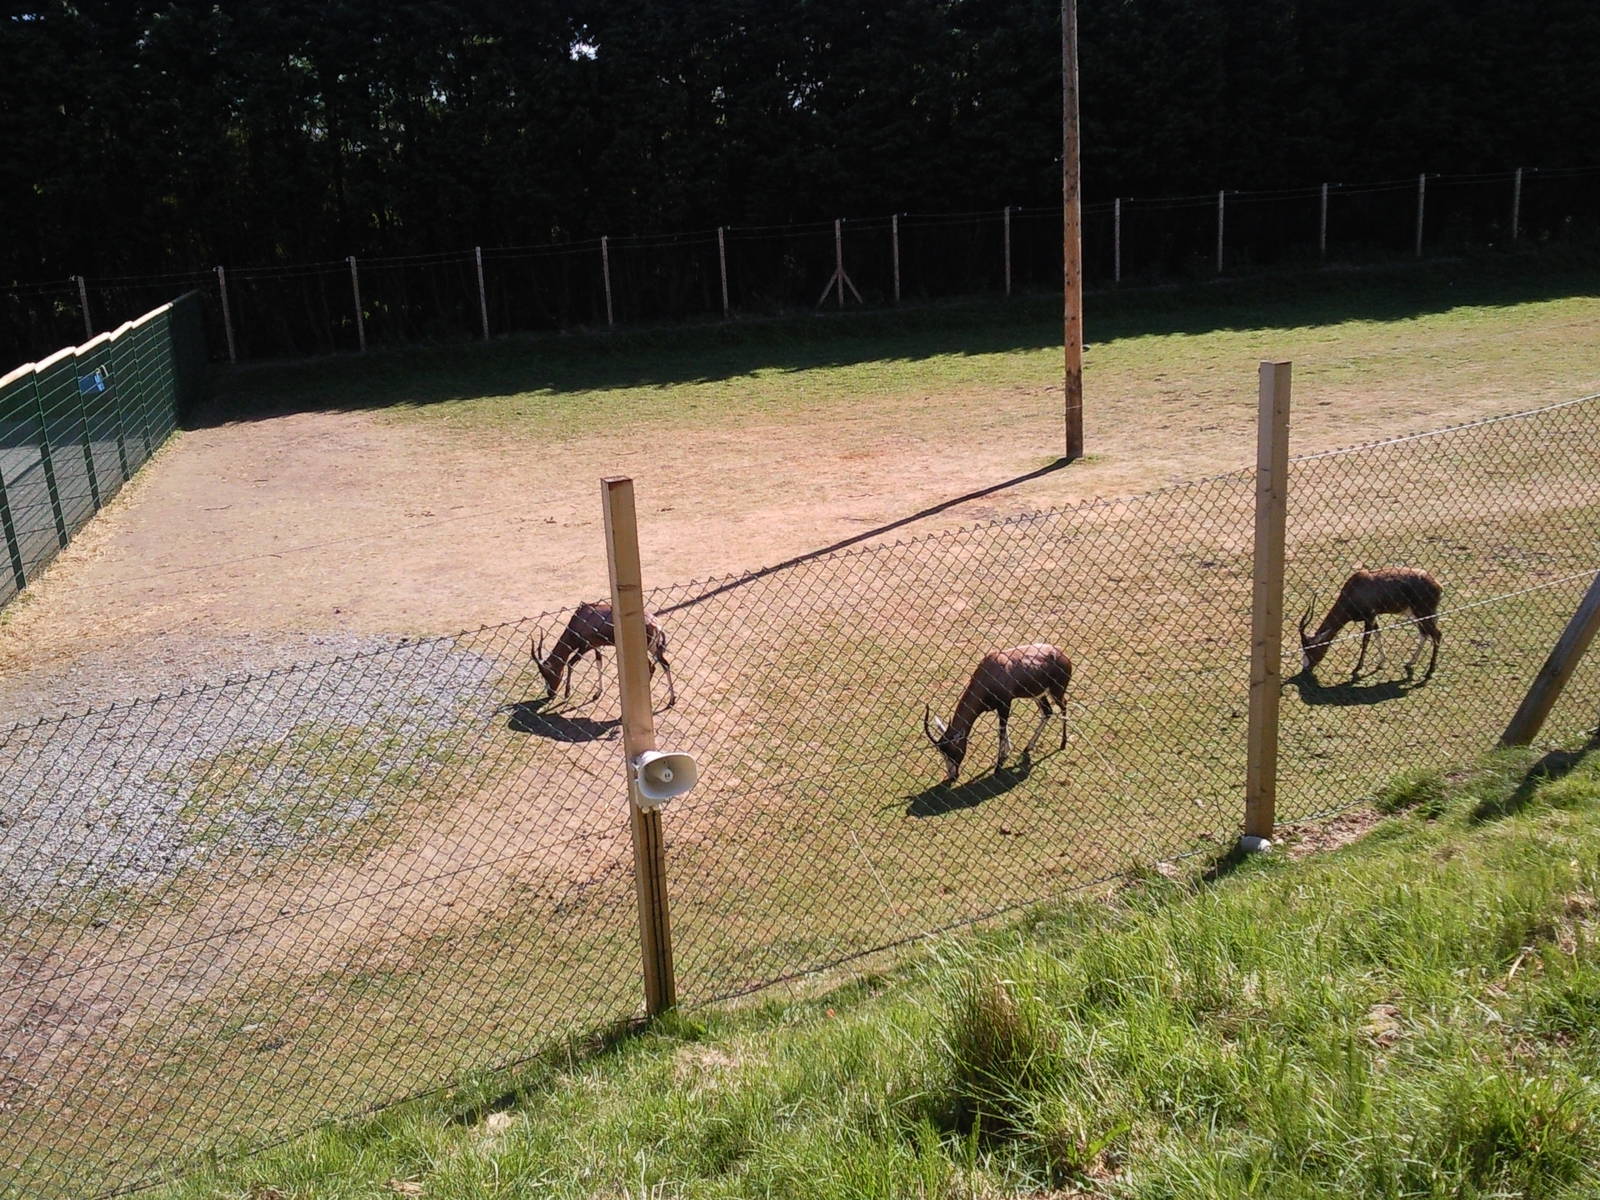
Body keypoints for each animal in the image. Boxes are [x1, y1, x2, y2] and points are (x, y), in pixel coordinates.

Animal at [532, 600, 676, 708]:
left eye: (549, 673)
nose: (550, 693)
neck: (582, 617)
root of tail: (656, 623)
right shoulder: (596, 646)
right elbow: (599, 662)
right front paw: (597, 693)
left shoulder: (585, 647)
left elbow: (570, 663)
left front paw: (567, 693)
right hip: (654, 648)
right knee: (665, 665)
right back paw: (671, 700)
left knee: (652, 666)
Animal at [922, 644, 1073, 784]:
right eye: (941, 752)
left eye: (952, 751)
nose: (952, 777)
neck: (991, 669)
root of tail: (1061, 654)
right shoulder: (999, 707)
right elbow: (1002, 729)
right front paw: (1006, 753)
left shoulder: (1005, 704)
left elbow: (1001, 730)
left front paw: (998, 767)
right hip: (1037, 694)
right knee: (1047, 712)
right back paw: (1028, 747)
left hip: (1056, 692)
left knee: (1064, 706)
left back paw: (1063, 744)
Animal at [1297, 567, 1443, 679]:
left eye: (1311, 649)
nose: (1305, 668)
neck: (1356, 586)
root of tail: (1437, 584)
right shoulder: (1374, 617)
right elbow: (1378, 634)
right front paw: (1381, 663)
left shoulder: (1370, 617)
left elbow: (1366, 640)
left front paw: (1357, 668)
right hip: (1415, 615)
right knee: (1424, 633)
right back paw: (1410, 662)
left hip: (1423, 613)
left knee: (1437, 634)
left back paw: (1430, 671)